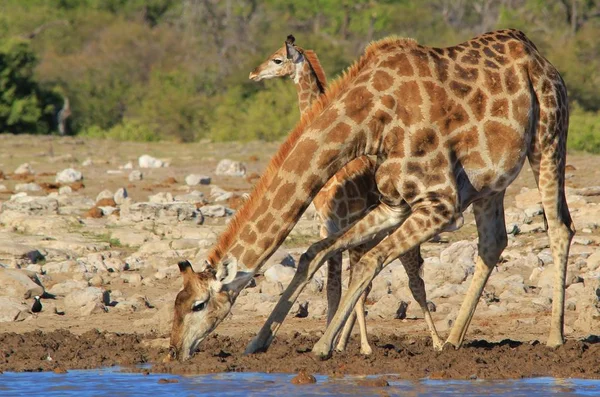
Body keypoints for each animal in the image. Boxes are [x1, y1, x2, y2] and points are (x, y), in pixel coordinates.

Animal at [171, 29, 576, 360]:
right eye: (175, 301)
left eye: (198, 305)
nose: (175, 351)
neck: (369, 121)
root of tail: (537, 54)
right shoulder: (394, 204)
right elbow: (316, 253)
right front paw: (258, 342)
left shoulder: (440, 203)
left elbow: (367, 262)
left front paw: (324, 346)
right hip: (489, 184)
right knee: (493, 243)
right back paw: (453, 340)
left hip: (548, 139)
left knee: (559, 228)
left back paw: (554, 338)